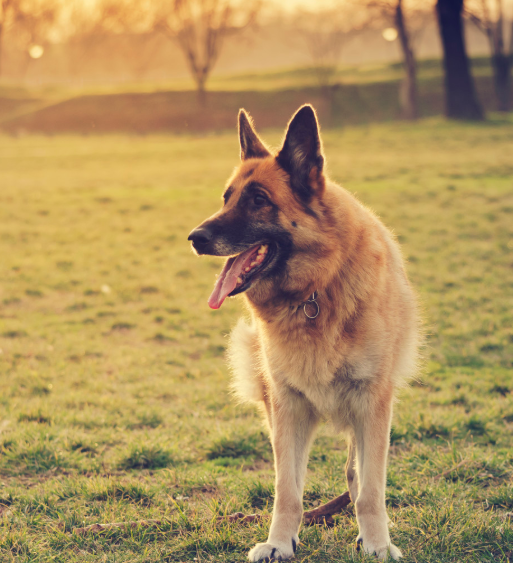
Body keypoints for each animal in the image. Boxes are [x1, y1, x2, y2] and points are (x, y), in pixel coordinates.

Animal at [186, 106, 418, 560]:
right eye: (226, 198)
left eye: (258, 200)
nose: (194, 238)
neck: (314, 291)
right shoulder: (287, 408)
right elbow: (287, 490)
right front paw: (280, 542)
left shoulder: (372, 403)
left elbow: (371, 488)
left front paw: (378, 543)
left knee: (358, 473)